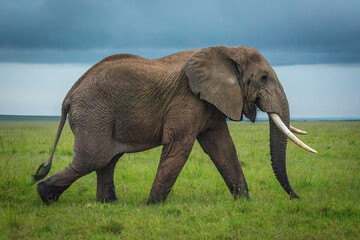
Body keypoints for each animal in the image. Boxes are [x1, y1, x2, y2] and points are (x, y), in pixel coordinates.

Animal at [32, 46, 316, 204]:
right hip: (93, 114)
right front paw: (153, 206)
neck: (226, 51)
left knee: (108, 160)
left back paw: (108, 205)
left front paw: (245, 203)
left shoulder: (209, 102)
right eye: (264, 78)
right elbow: (179, 147)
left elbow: (224, 149)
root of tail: (70, 95)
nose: (296, 198)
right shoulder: (187, 99)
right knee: (95, 158)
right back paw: (45, 197)